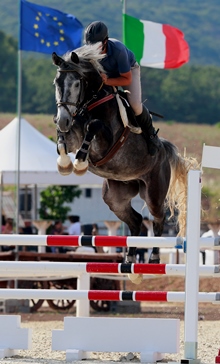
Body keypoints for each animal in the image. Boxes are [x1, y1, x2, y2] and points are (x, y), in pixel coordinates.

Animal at [52, 44, 199, 284]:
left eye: (76, 83)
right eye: (57, 82)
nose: (63, 118)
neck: (89, 104)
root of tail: (163, 149)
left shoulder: (106, 140)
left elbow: (93, 125)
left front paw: (80, 162)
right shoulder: (71, 133)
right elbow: (62, 138)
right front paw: (65, 163)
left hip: (154, 193)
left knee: (157, 220)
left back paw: (153, 260)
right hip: (115, 197)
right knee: (136, 221)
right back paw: (130, 262)